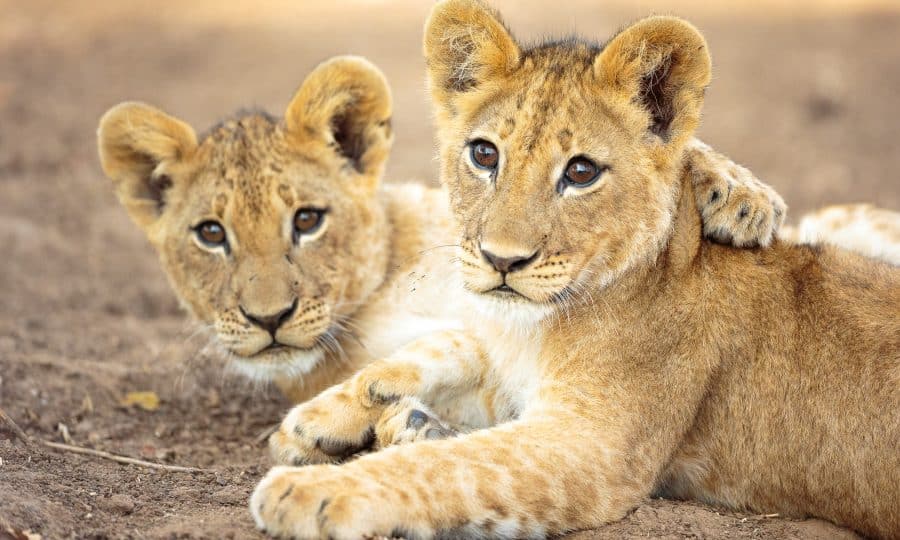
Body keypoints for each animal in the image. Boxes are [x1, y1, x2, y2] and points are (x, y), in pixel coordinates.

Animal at [252, 3, 900, 539]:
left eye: (581, 172)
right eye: (484, 154)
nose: (501, 260)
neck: (540, 326)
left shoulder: (592, 447)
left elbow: (450, 466)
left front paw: (314, 491)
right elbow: (448, 346)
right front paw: (320, 418)